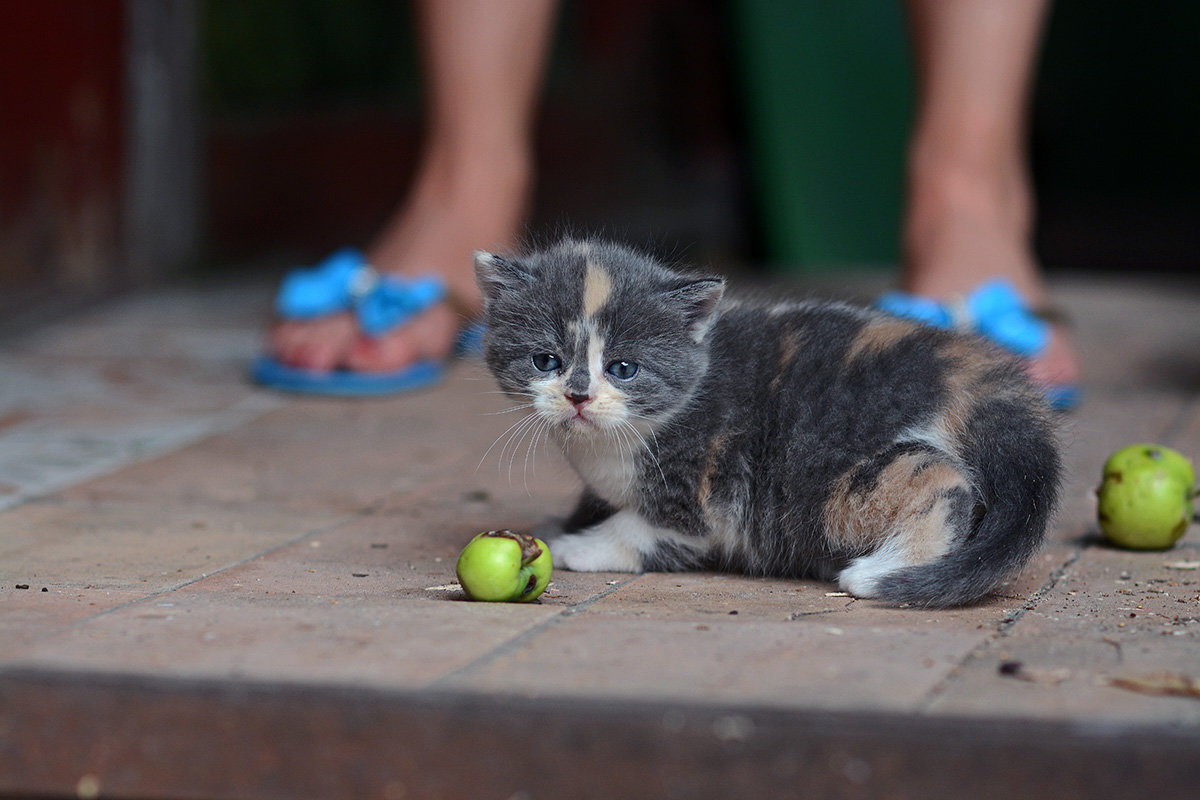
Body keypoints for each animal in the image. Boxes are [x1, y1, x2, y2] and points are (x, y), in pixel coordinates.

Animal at [470, 237, 1060, 606]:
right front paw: (566, 521)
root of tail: (977, 374)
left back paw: (885, 567)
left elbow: (645, 531)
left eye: (623, 368)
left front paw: (580, 546)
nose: (578, 396)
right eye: (545, 360)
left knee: (942, 484)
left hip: (844, 476)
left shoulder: (703, 491)